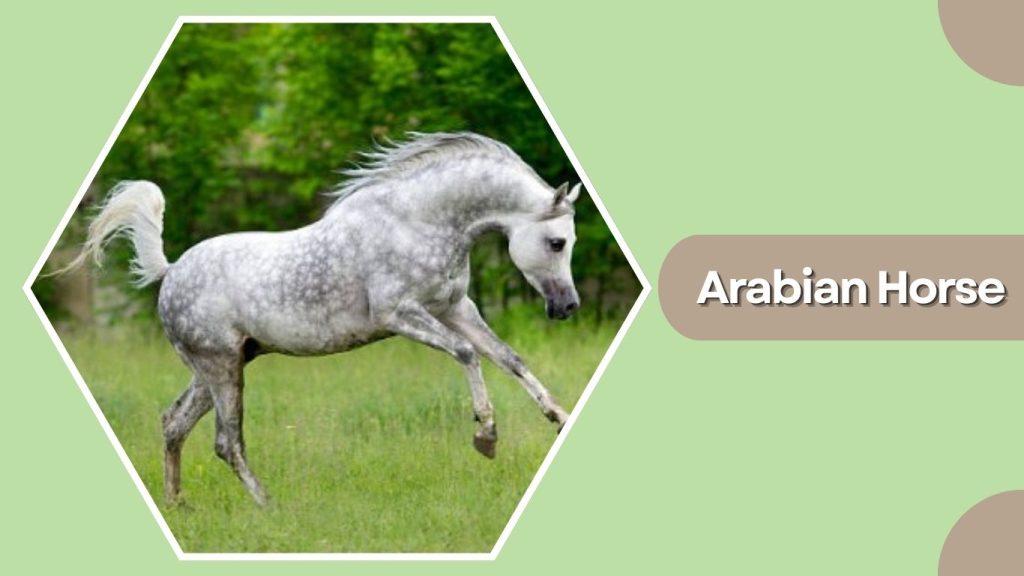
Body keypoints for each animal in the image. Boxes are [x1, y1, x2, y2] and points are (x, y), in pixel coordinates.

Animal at [61, 132, 581, 505]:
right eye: (557, 242)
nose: (569, 307)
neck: (419, 222)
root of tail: (169, 272)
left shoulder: (454, 308)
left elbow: (509, 358)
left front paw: (559, 417)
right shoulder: (402, 314)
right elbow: (468, 353)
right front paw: (486, 436)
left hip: (221, 366)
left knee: (174, 424)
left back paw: (177, 504)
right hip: (222, 368)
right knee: (227, 443)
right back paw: (268, 506)